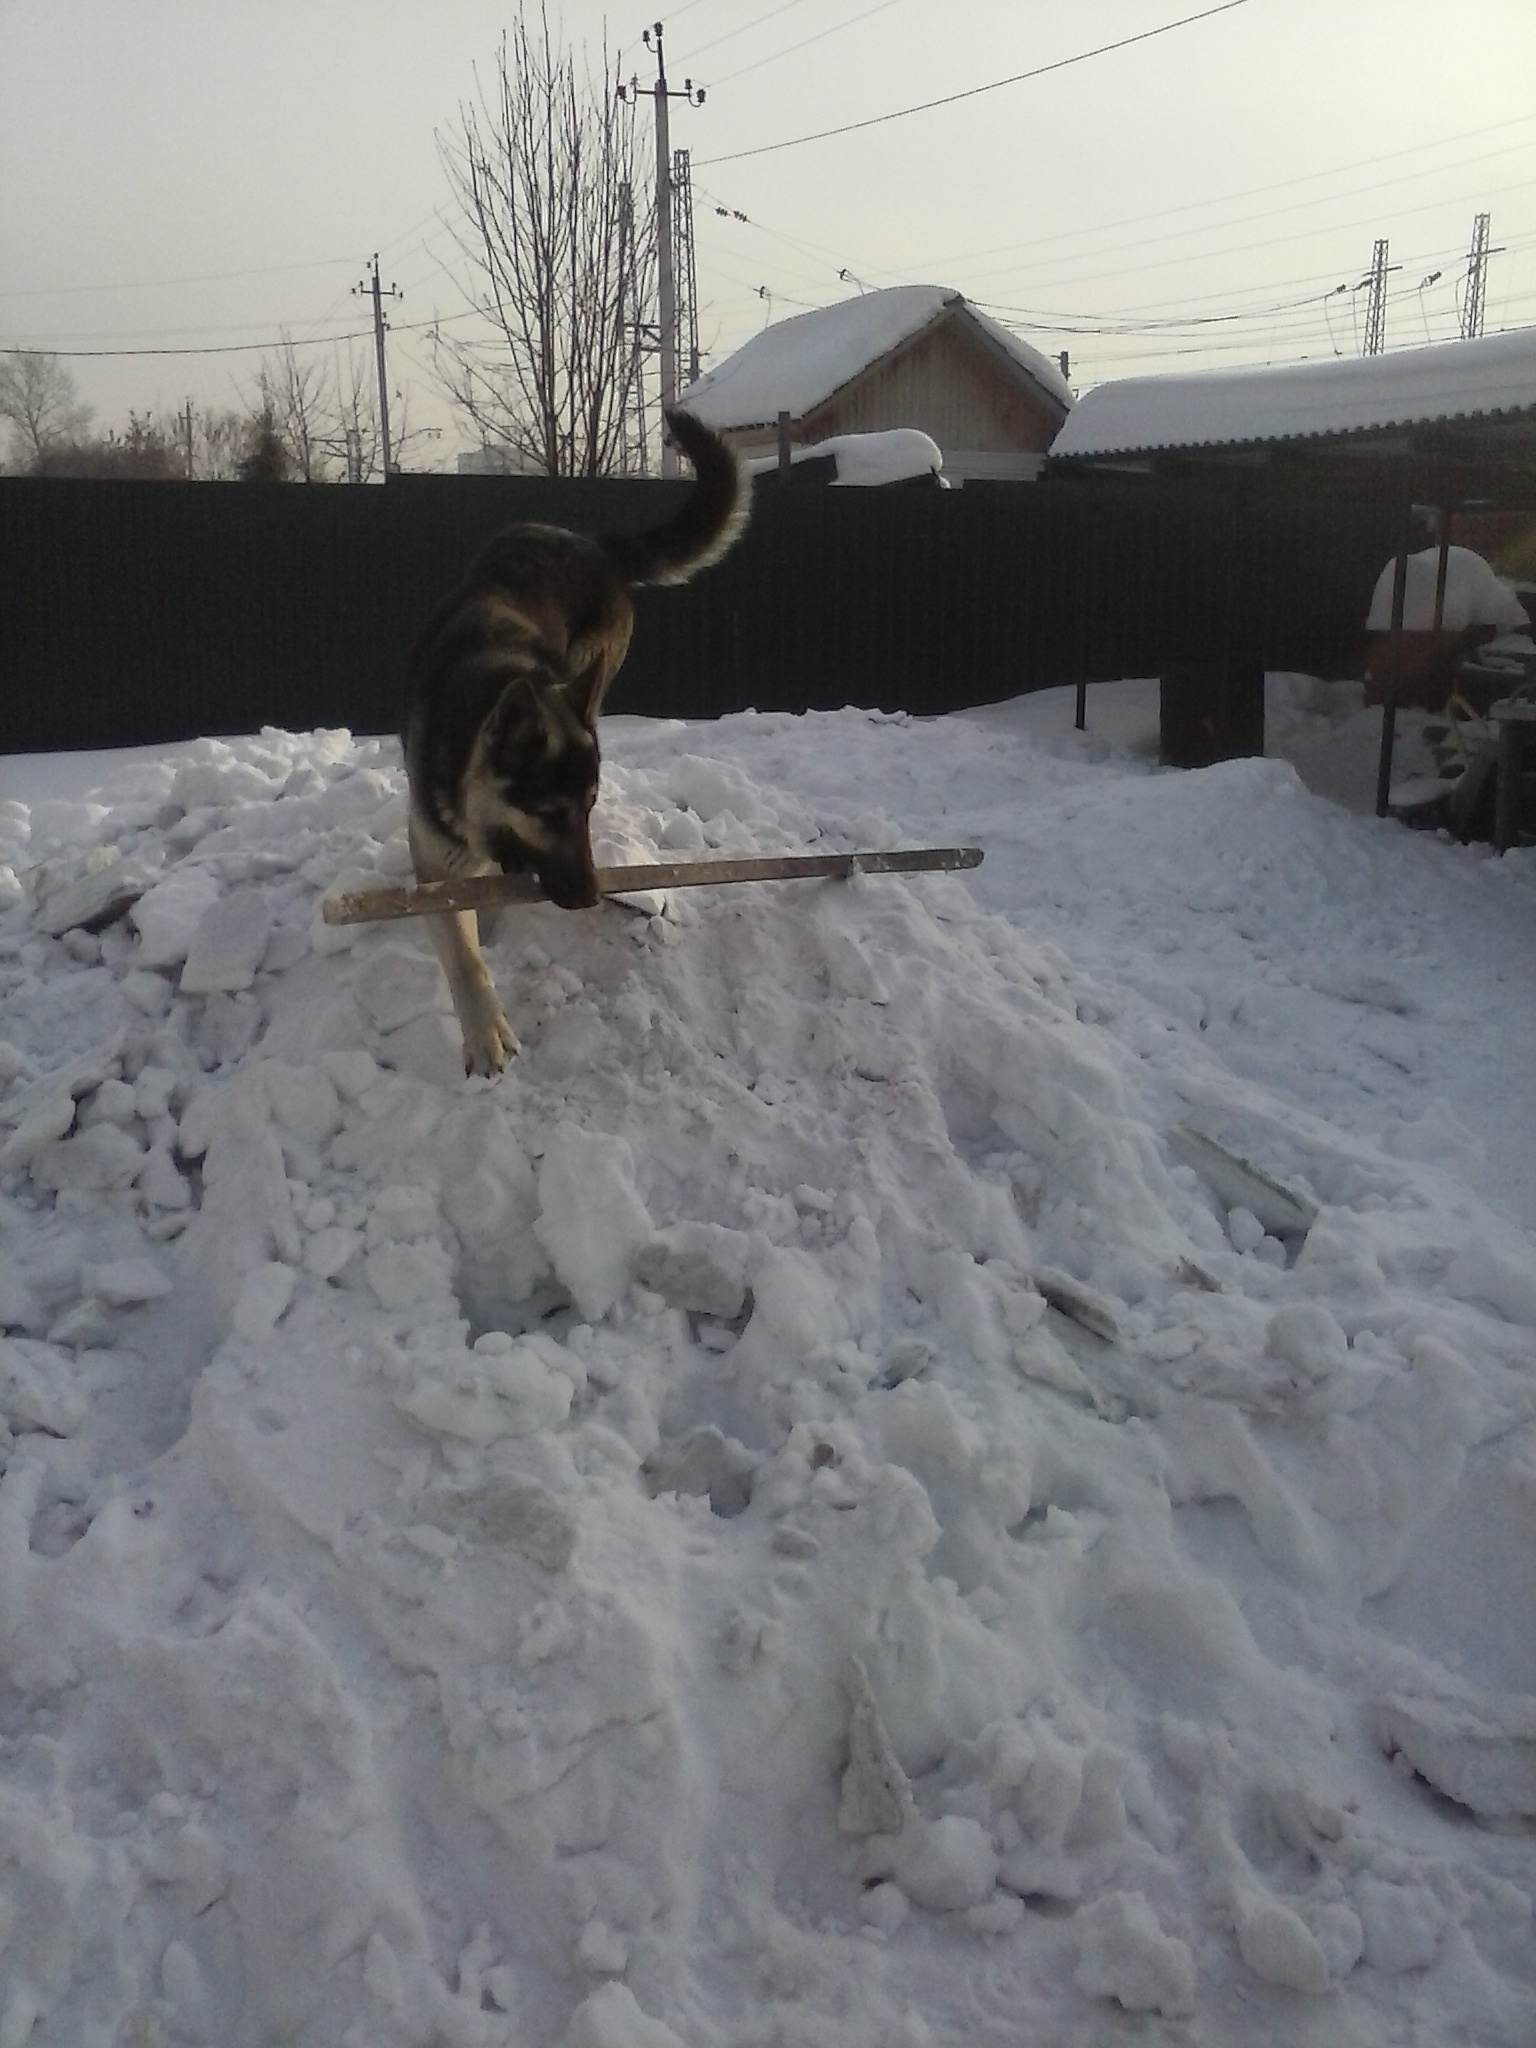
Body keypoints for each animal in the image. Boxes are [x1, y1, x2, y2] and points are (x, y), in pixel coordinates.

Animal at [403, 399, 753, 1073]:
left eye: (589, 809)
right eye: (548, 814)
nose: (593, 896)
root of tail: (593, 542)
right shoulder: (434, 867)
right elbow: (463, 956)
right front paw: (484, 1034)